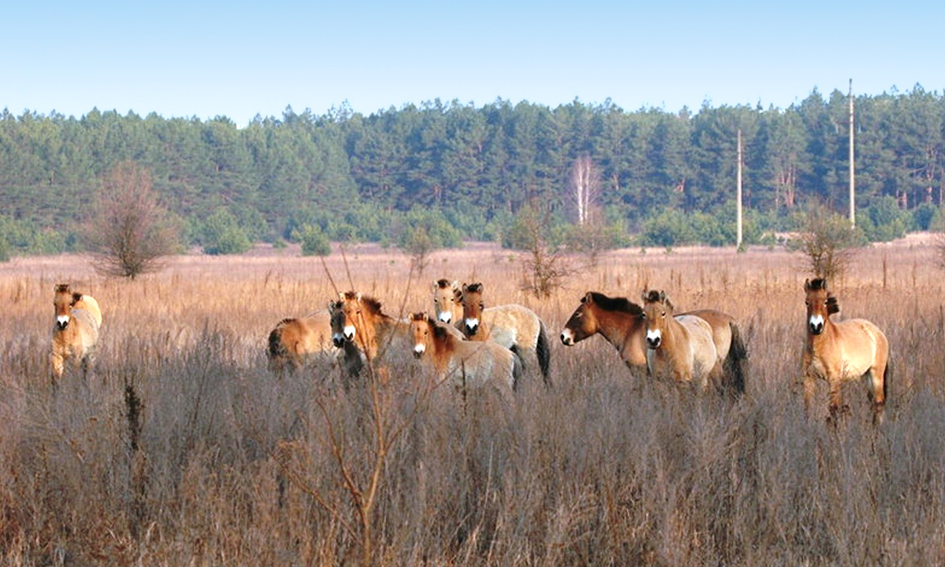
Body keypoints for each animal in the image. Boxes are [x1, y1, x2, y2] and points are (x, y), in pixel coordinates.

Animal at [800, 278, 888, 424]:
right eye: (807, 302)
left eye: (825, 302)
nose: (816, 326)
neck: (819, 347)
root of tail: (877, 331)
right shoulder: (808, 378)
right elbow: (807, 409)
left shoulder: (834, 380)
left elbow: (833, 410)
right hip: (866, 375)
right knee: (871, 403)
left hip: (876, 375)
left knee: (879, 403)